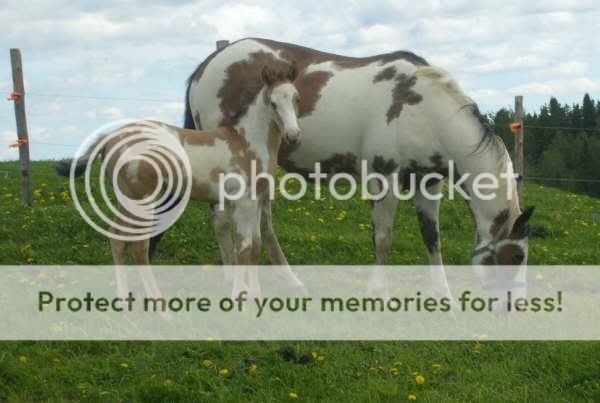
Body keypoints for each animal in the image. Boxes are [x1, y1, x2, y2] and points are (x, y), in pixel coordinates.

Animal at [56, 62, 304, 300]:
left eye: (296, 98)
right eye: (273, 103)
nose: (293, 135)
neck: (247, 141)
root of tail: (110, 138)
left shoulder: (257, 201)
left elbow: (256, 247)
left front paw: (256, 296)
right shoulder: (244, 202)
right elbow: (244, 249)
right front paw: (239, 298)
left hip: (126, 199)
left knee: (117, 239)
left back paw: (124, 299)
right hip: (143, 200)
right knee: (139, 246)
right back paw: (160, 306)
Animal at [156, 38, 536, 302]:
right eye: (517, 255)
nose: (516, 306)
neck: (424, 110)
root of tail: (207, 65)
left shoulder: (427, 184)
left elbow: (432, 238)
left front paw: (443, 295)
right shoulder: (384, 178)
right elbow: (383, 237)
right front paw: (378, 292)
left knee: (262, 225)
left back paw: (290, 283)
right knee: (223, 220)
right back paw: (231, 279)